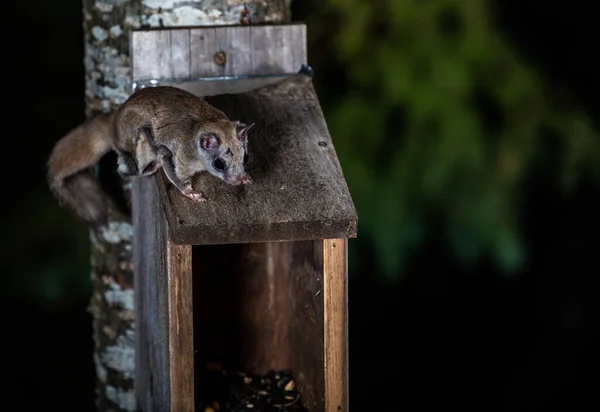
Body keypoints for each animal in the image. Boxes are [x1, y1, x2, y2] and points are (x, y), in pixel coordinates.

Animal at [46, 84, 253, 225]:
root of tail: (112, 125)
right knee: (126, 171)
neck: (202, 124)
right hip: (138, 144)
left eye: (246, 158)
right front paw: (190, 193)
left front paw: (246, 178)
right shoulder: (174, 153)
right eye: (219, 164)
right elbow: (175, 174)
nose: (236, 180)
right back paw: (149, 169)